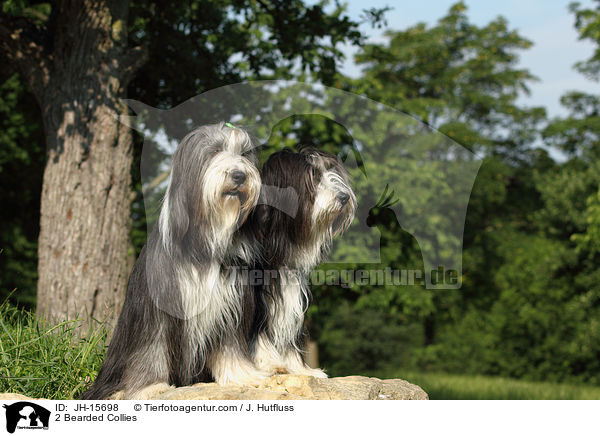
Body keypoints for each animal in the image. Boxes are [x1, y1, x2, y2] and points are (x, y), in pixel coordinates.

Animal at [81, 122, 264, 398]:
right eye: (215, 150)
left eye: (244, 154)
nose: (240, 175)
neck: (205, 244)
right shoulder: (158, 311)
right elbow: (152, 349)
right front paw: (150, 386)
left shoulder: (229, 305)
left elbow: (230, 345)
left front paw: (241, 376)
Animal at [245, 148, 354, 376]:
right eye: (312, 177)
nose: (344, 197)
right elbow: (257, 332)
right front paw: (271, 364)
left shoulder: (290, 295)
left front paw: (300, 369)